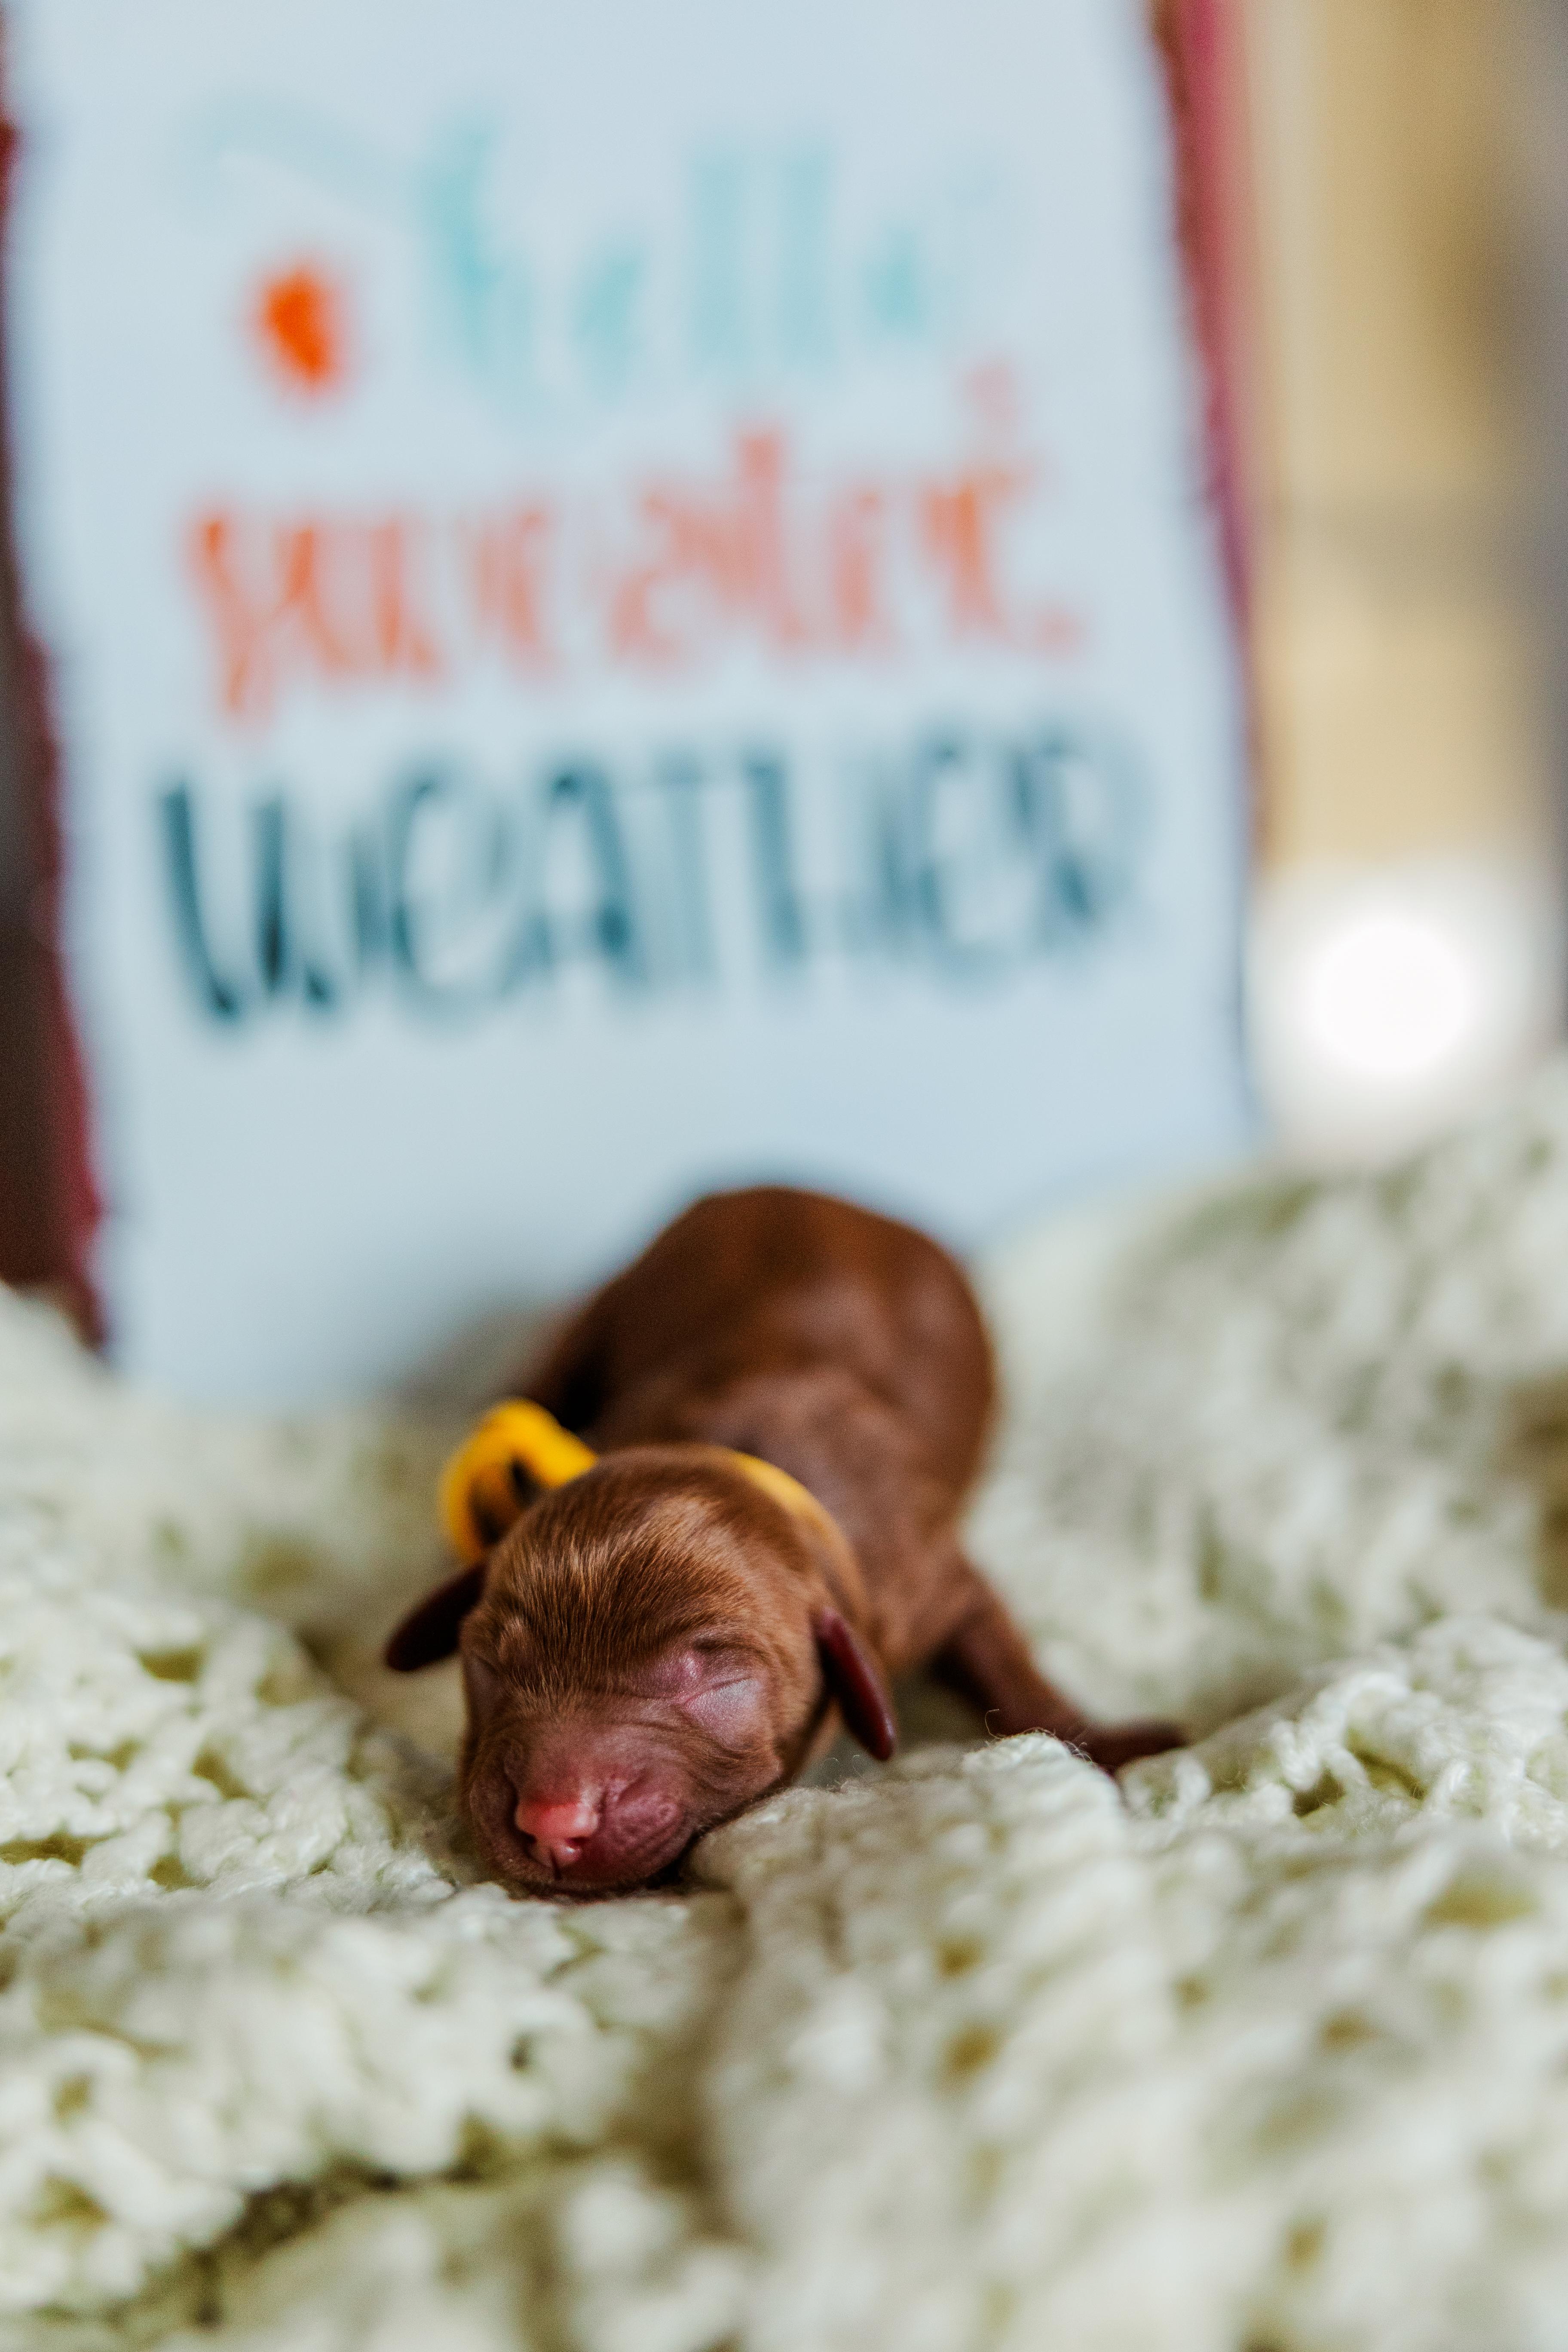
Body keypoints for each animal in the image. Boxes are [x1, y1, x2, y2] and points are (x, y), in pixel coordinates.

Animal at [385, 1185, 1181, 1895]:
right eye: (487, 1664)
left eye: (715, 1682)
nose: (553, 1822)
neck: (740, 1454)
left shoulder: (931, 1578)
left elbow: (1003, 1664)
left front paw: (1100, 1741)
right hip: (603, 1307)